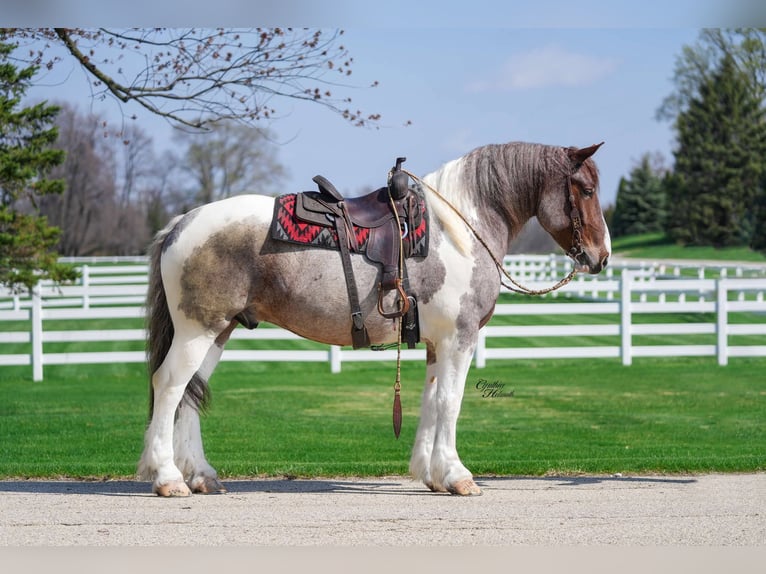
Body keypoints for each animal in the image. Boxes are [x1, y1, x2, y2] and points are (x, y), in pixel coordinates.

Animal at [137, 140, 611, 497]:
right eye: (586, 189)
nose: (602, 256)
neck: (460, 228)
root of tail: (181, 223)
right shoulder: (459, 338)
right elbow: (450, 402)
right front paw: (457, 476)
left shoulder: (437, 342)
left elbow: (430, 401)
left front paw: (431, 474)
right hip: (197, 331)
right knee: (170, 386)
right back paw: (168, 478)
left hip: (219, 330)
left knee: (191, 393)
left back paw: (201, 475)